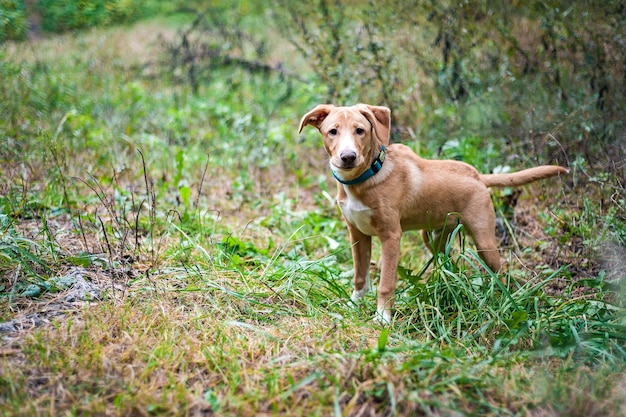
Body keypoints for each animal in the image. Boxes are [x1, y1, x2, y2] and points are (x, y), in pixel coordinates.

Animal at [298, 102, 564, 324]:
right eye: (333, 131)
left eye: (360, 131)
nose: (348, 157)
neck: (365, 178)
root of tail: (477, 175)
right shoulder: (357, 234)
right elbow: (360, 276)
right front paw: (354, 305)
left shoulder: (391, 237)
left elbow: (386, 283)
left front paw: (383, 317)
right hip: (433, 237)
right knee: (447, 262)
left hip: (484, 241)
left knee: (499, 272)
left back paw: (502, 300)